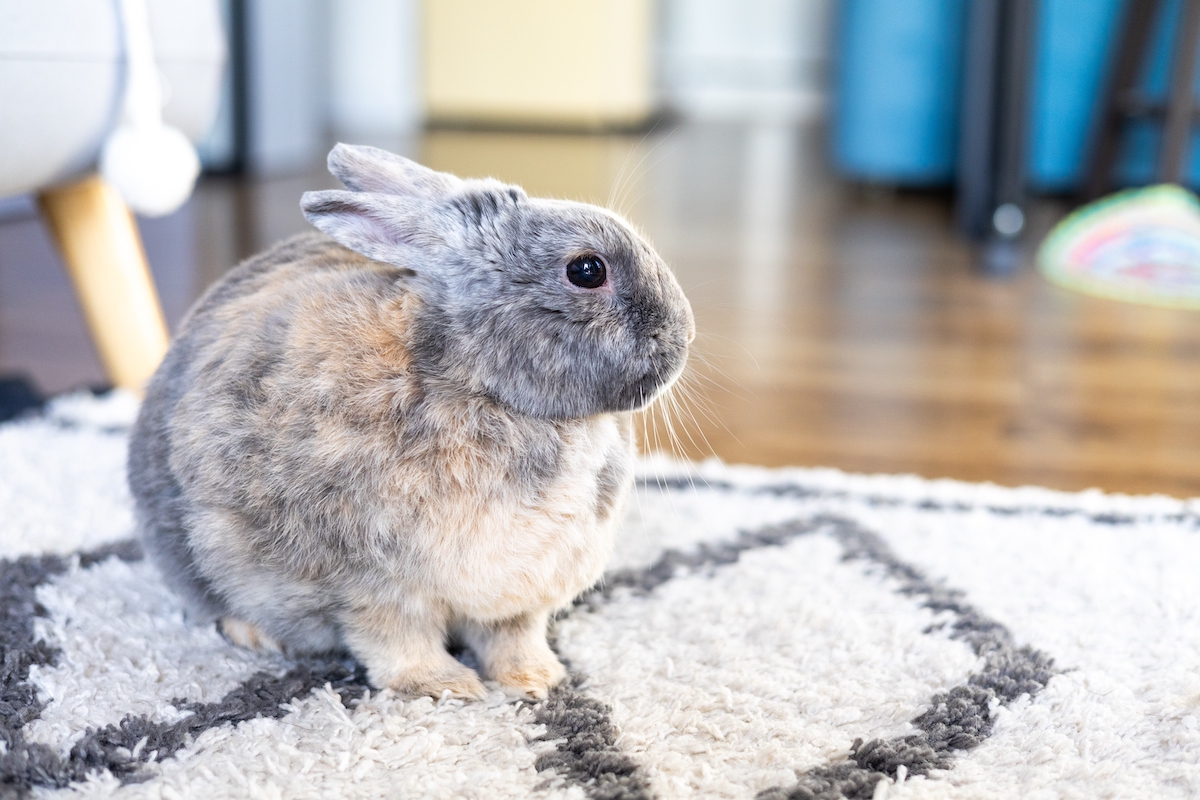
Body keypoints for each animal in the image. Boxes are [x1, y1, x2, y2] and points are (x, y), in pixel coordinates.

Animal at [127, 143, 694, 700]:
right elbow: (396, 642)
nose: (684, 334)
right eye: (587, 270)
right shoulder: (370, 587)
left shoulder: (520, 594)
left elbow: (512, 637)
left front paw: (536, 681)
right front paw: (448, 687)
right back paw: (257, 635)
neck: (478, 383)